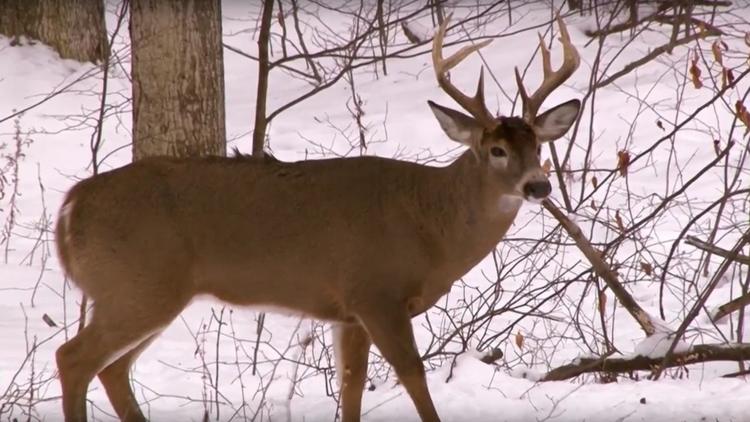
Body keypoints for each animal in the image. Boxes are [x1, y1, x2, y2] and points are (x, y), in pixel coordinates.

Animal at [55, 14, 584, 422]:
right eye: (496, 150)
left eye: (539, 146)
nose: (538, 186)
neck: (429, 225)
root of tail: (72, 204)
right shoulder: (376, 292)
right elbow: (413, 377)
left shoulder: (346, 310)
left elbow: (350, 387)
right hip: (137, 284)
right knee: (73, 357)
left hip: (145, 291)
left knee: (112, 368)